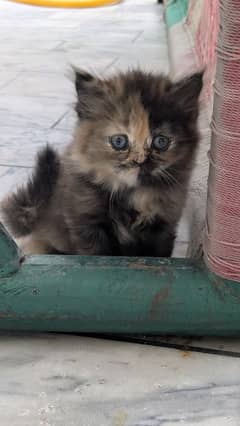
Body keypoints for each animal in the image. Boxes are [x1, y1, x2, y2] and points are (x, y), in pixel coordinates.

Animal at [1, 70, 202, 256]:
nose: (139, 161)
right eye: (119, 141)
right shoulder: (87, 223)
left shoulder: (164, 224)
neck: (134, 194)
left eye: (161, 142)